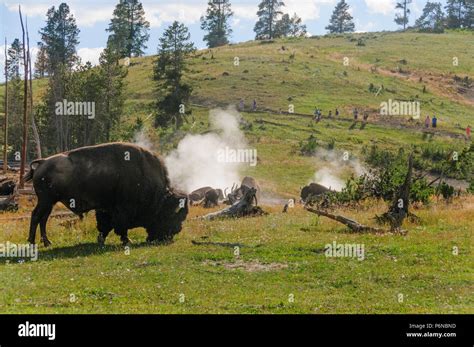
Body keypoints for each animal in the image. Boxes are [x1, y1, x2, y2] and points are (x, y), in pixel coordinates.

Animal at [25, 143, 189, 247]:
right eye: (170, 215)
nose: (172, 235)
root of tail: (42, 162)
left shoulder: (106, 209)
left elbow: (106, 226)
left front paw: (101, 240)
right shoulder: (122, 210)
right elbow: (120, 226)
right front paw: (127, 241)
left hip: (49, 202)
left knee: (43, 219)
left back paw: (47, 242)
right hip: (45, 201)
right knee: (36, 216)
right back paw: (32, 242)